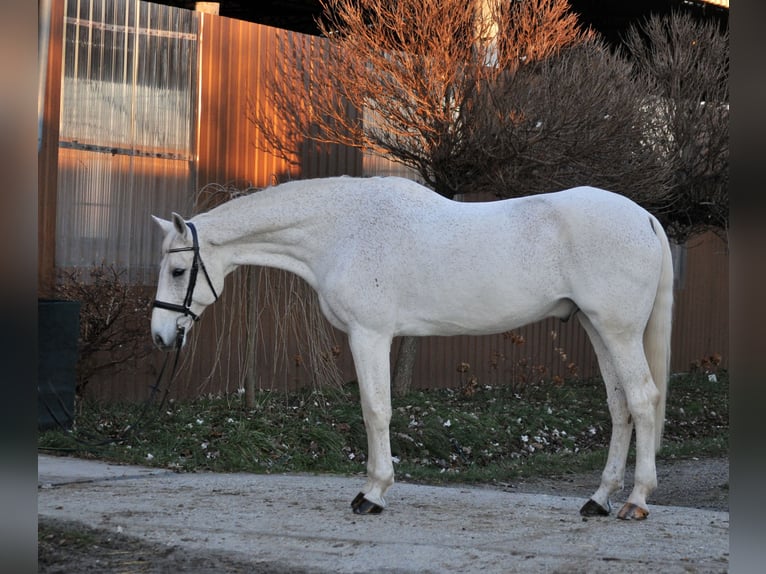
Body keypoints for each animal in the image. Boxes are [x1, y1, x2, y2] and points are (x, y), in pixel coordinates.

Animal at [151, 175, 673, 520]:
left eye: (178, 270)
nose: (159, 335)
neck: (344, 230)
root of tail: (646, 217)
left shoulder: (369, 334)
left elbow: (375, 410)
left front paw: (373, 493)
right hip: (597, 328)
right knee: (620, 407)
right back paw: (598, 499)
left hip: (619, 331)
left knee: (642, 400)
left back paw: (635, 501)